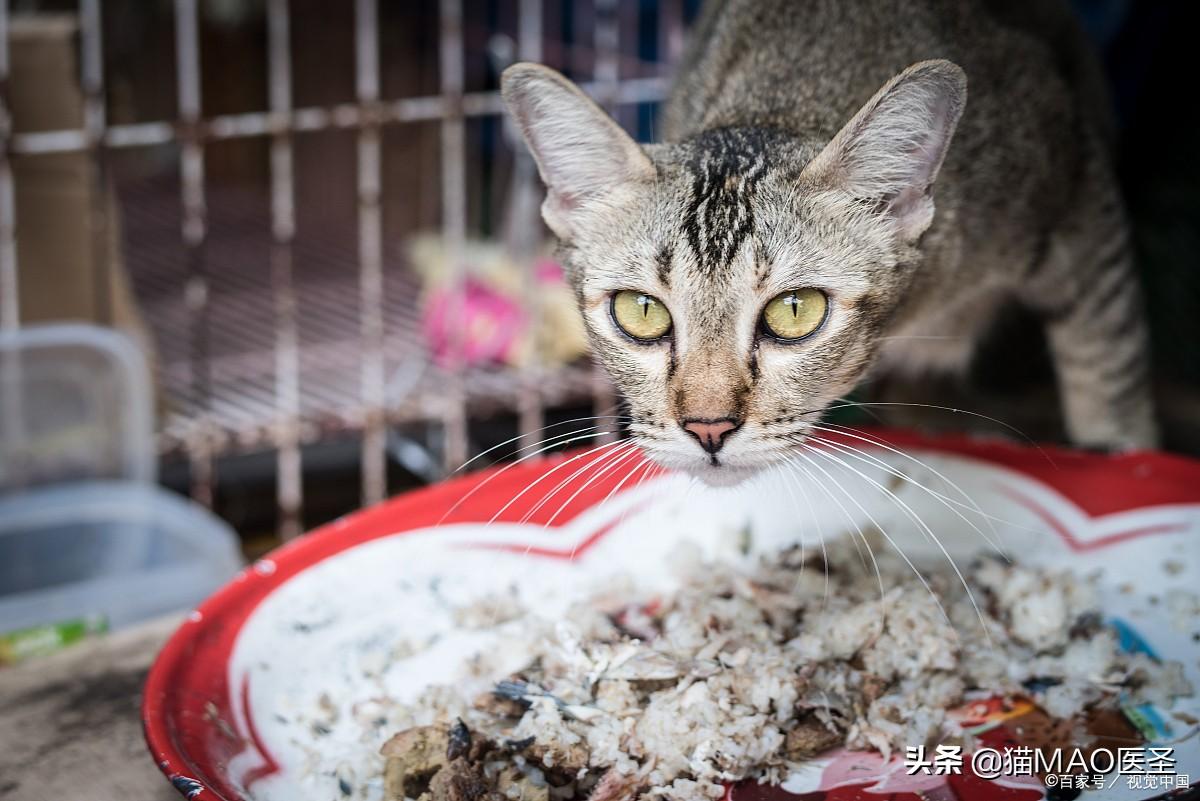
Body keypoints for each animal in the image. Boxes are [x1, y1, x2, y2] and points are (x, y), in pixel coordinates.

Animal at [501, 0, 1156, 484]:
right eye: (641, 311)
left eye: (796, 311)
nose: (708, 428)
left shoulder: (1083, 201)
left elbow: (1107, 360)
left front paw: (1123, 456)